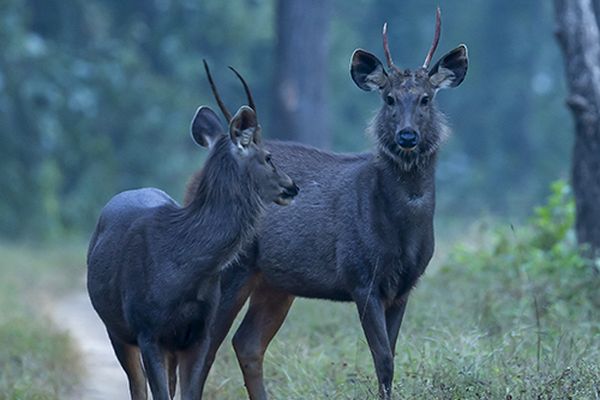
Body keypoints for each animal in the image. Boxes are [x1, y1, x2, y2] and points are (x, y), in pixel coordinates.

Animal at [85, 63, 300, 400]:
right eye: (268, 157)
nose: (292, 186)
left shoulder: (198, 333)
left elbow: (190, 392)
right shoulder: (147, 329)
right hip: (115, 326)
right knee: (137, 386)